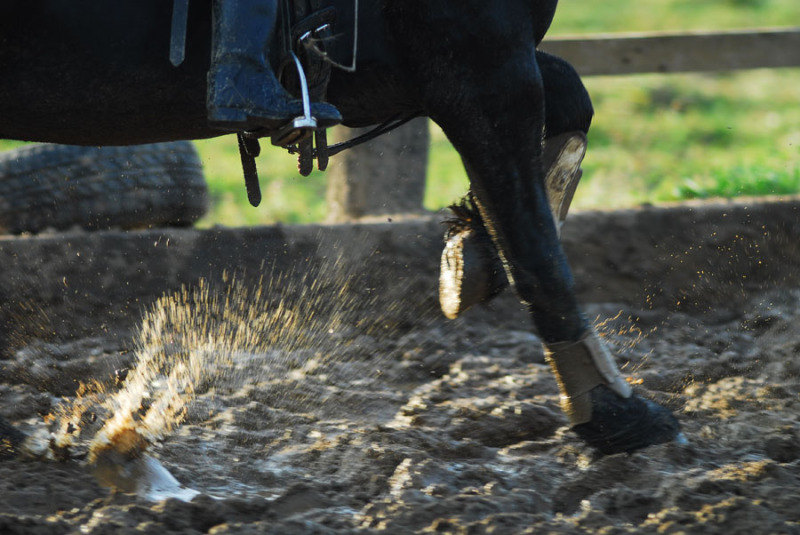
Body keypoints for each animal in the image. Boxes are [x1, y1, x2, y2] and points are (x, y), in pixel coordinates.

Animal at [0, 0, 680, 456]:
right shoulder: (479, 65)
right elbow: (536, 245)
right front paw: (614, 414)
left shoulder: (415, 72)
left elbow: (569, 101)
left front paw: (468, 251)